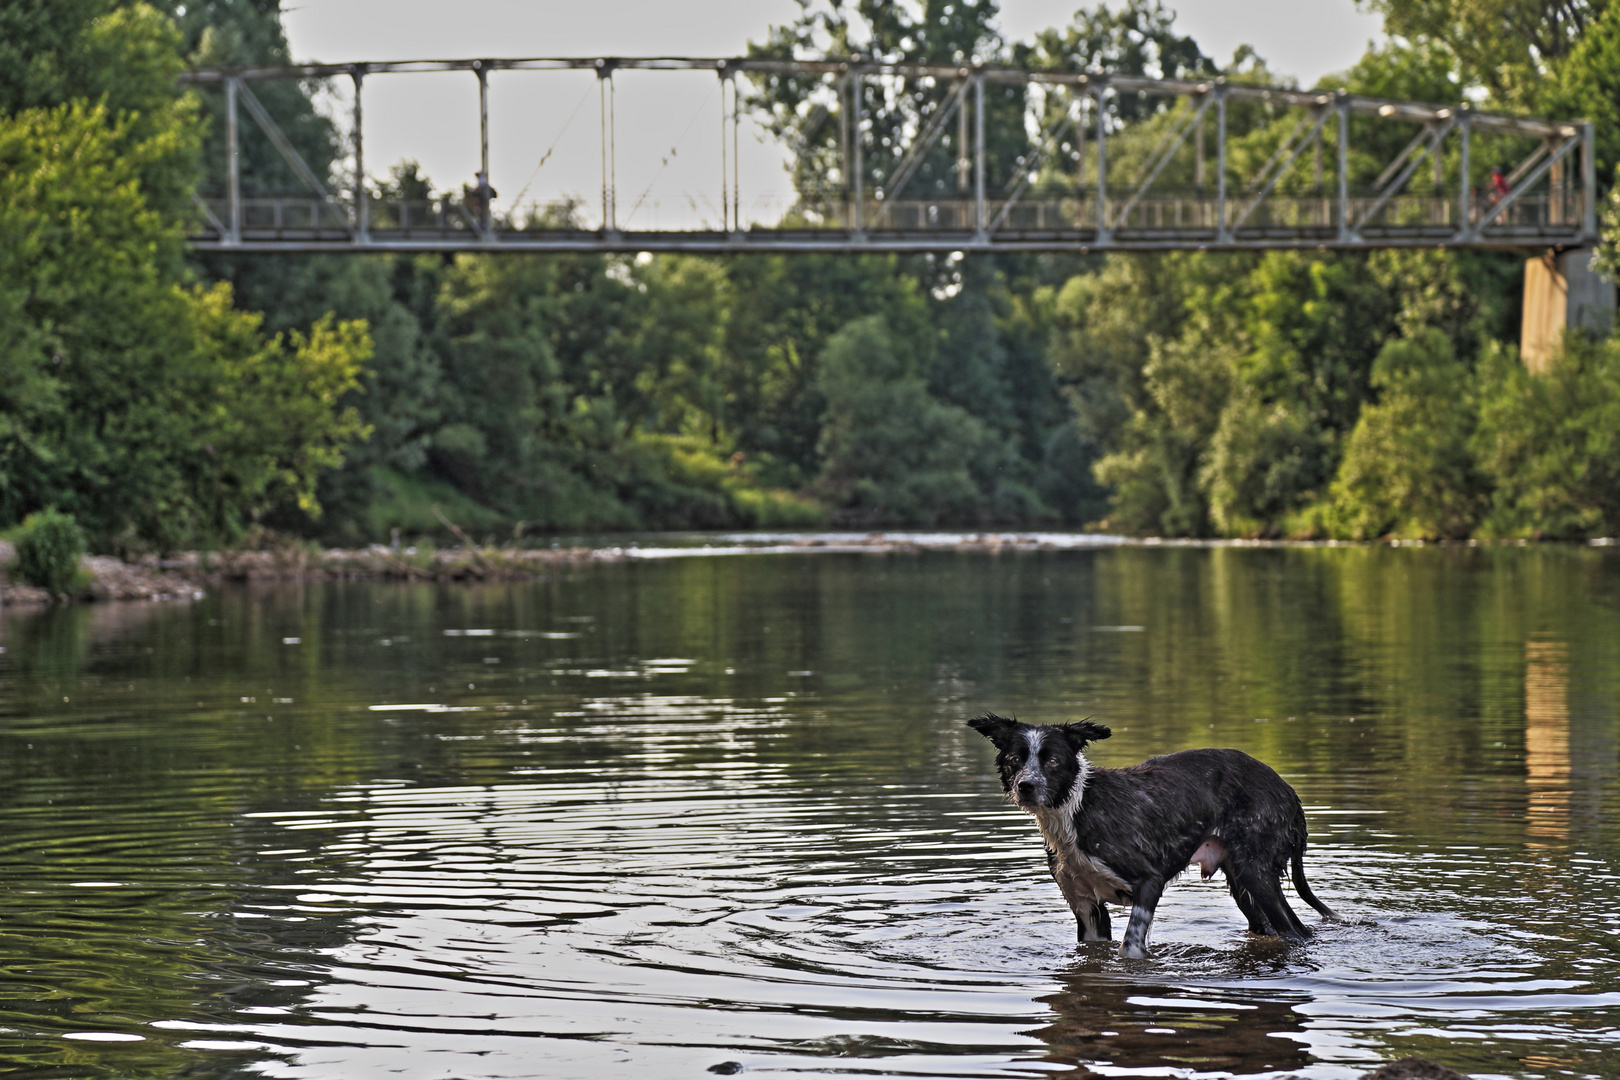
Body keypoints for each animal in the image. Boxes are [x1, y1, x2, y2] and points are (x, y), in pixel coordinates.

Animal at [965, 712, 1334, 958]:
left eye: (1053, 761)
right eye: (1015, 759)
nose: (1025, 787)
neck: (1077, 808)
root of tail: (1289, 791)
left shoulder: (1149, 881)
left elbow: (1129, 948)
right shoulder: (1086, 906)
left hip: (1256, 873)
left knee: (1296, 932)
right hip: (1243, 883)